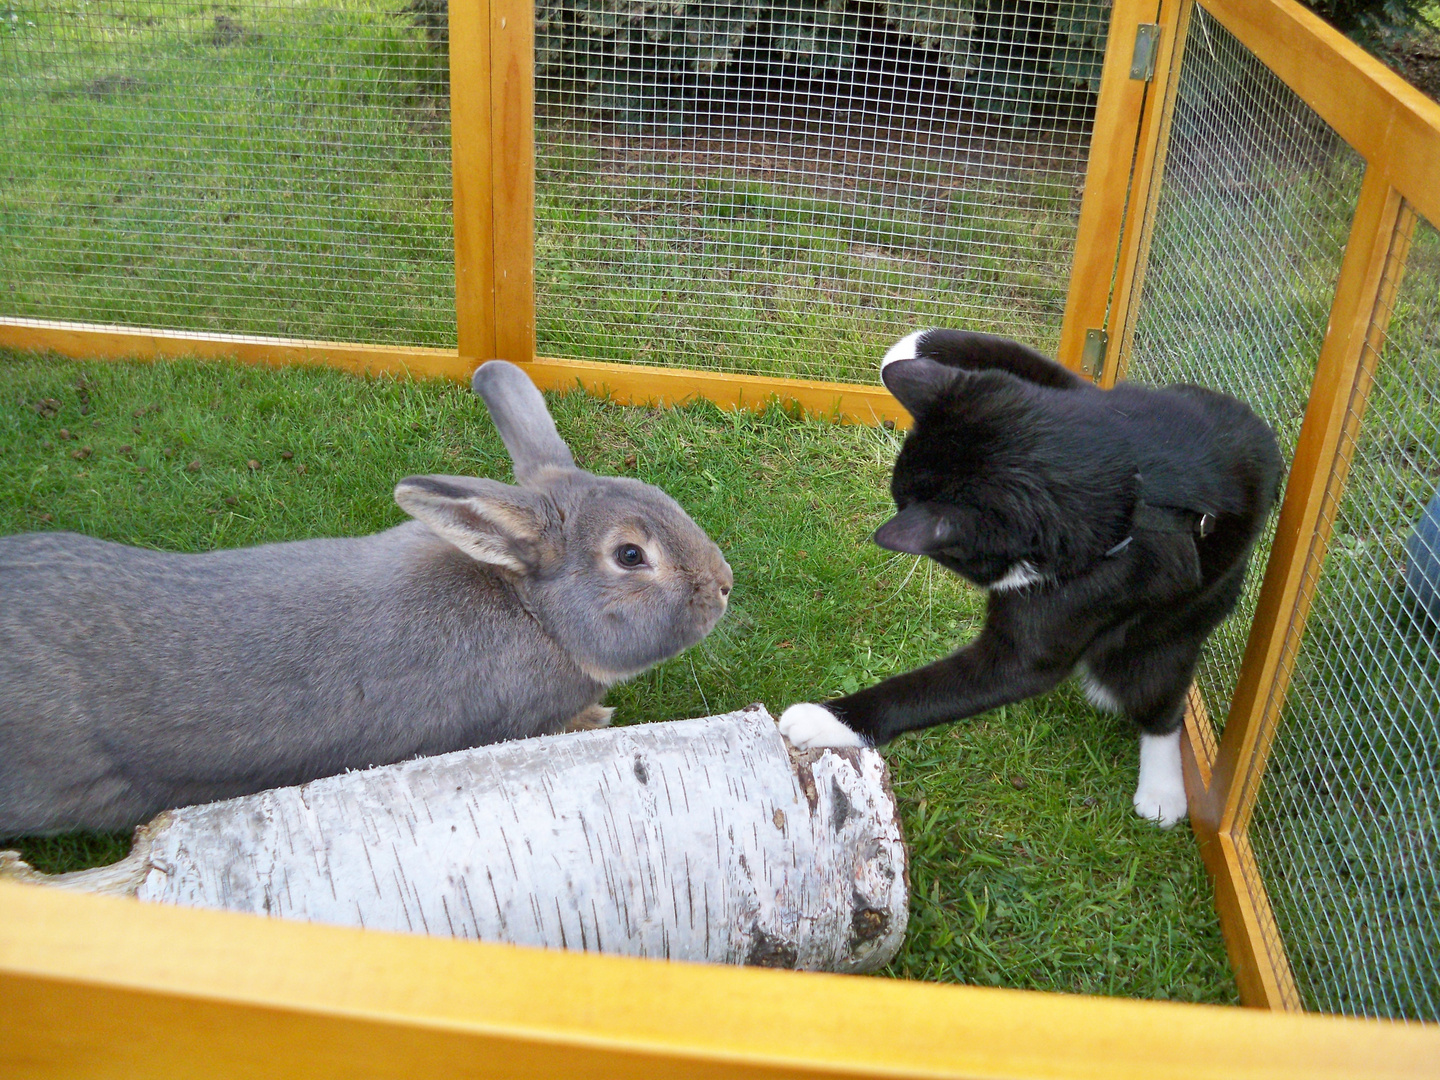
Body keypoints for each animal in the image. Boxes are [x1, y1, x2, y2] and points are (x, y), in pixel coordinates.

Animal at [777, 329, 1284, 829]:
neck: (1131, 493)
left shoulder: (1082, 598)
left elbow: (946, 687)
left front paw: (826, 719)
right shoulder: (1091, 402)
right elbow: (1026, 367)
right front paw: (910, 349)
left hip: (1174, 631)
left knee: (1159, 699)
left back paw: (1162, 791)